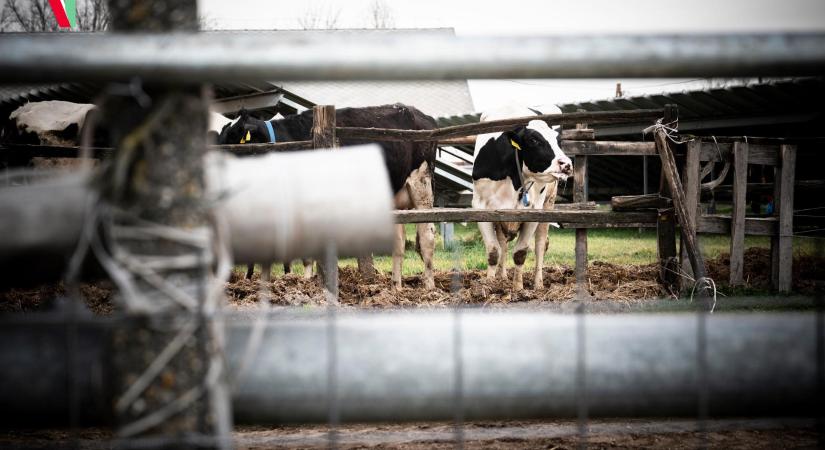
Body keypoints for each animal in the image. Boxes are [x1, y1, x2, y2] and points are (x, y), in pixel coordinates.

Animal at [217, 103, 438, 290]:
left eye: (234, 140)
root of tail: (421, 115)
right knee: (399, 243)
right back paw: (396, 286)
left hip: (421, 184)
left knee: (427, 236)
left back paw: (429, 286)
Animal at [470, 108, 572, 290]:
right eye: (533, 140)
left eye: (557, 140)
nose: (566, 164)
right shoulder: (481, 208)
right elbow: (494, 251)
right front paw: (489, 285)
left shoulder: (532, 213)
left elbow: (520, 253)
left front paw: (518, 288)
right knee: (503, 244)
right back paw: (502, 277)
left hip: (548, 203)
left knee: (540, 245)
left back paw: (538, 284)